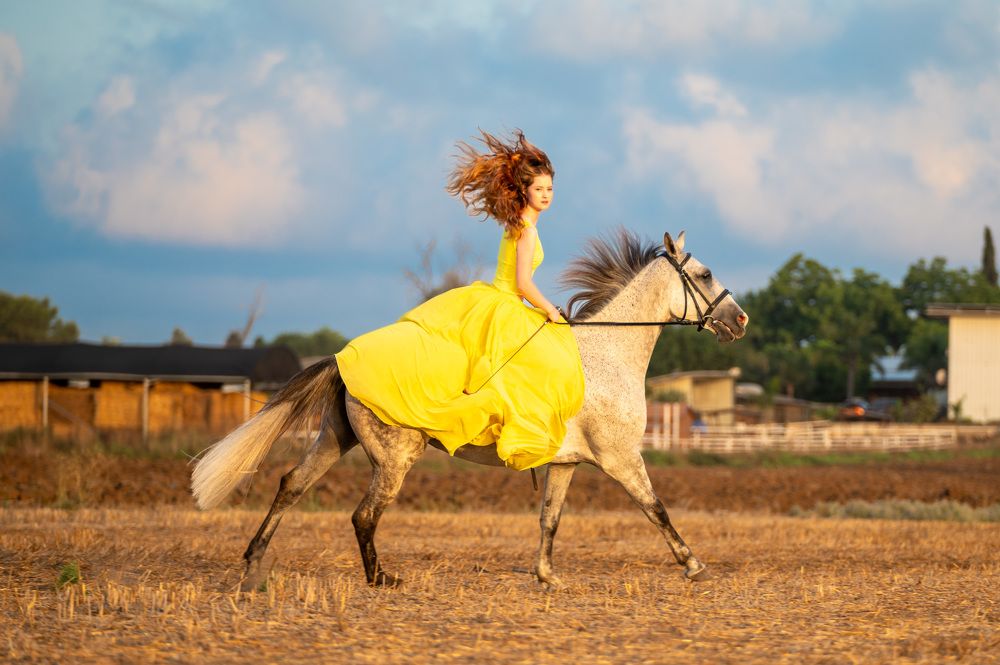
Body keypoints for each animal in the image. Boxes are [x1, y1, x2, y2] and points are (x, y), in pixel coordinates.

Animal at [191, 229, 748, 590]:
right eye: (705, 273)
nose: (741, 319)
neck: (608, 354)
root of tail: (341, 358)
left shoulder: (566, 464)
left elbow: (550, 520)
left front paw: (547, 577)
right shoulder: (621, 458)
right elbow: (657, 509)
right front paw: (694, 565)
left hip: (334, 439)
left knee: (290, 486)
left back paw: (253, 568)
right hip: (394, 457)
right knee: (363, 514)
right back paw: (380, 578)